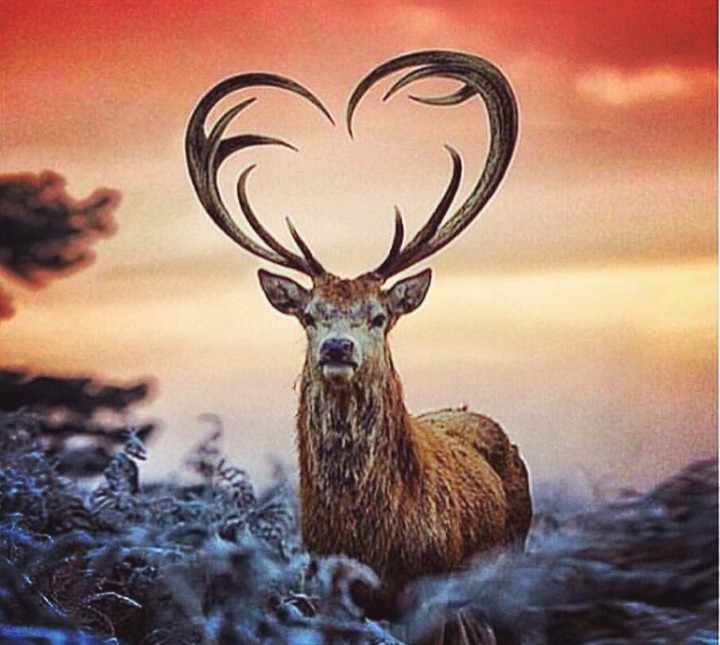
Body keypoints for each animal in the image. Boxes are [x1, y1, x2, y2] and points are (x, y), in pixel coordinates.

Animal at [185, 50, 532, 639]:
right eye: (309, 316)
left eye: (378, 316)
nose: (337, 349)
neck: (370, 547)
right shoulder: (325, 593)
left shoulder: (431, 600)